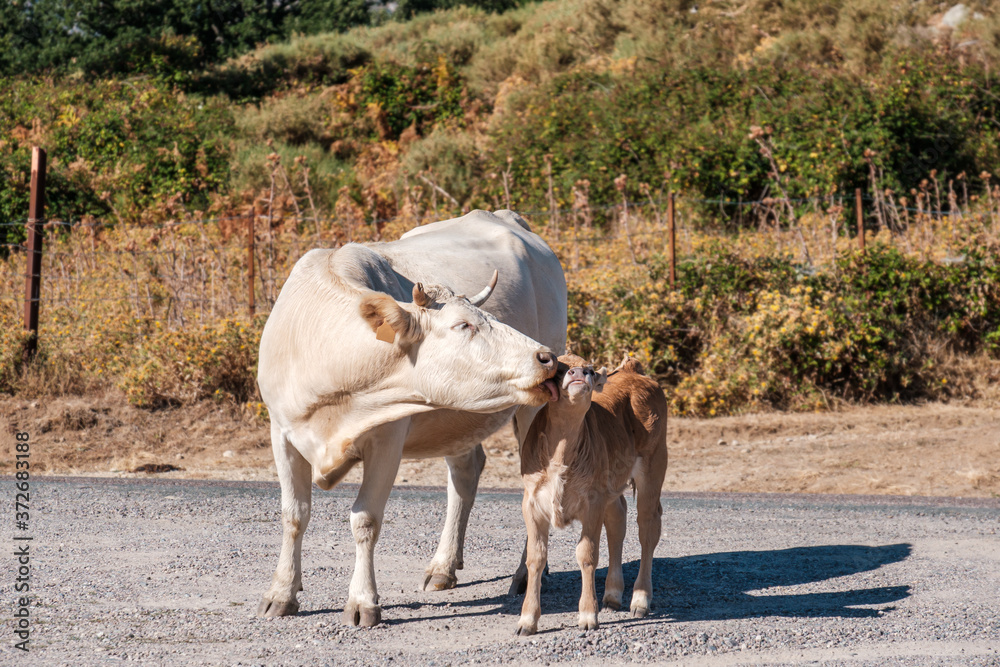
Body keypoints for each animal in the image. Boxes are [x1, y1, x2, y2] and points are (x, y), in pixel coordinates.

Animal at [255, 210, 567, 627]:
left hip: (533, 412)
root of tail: (503, 215)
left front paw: (362, 601)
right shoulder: (282, 432)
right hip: (457, 421)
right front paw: (281, 593)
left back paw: (528, 574)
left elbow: (365, 519)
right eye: (463, 325)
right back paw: (443, 567)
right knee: (464, 476)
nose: (547, 358)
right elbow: (294, 515)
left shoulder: (387, 440)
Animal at [515, 354, 668, 636]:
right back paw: (613, 594)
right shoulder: (531, 502)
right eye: (559, 368)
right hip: (611, 485)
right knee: (618, 520)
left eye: (590, 369)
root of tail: (631, 371)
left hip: (654, 465)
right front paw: (527, 620)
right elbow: (536, 558)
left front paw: (588, 615)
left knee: (647, 528)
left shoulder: (592, 503)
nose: (579, 373)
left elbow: (587, 555)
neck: (560, 453)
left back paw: (640, 599)